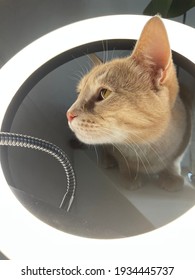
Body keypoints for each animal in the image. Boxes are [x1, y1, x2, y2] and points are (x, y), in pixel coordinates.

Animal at [66, 16, 190, 191]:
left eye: (104, 93)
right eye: (79, 93)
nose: (68, 114)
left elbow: (174, 161)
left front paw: (172, 175)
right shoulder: (116, 148)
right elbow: (121, 158)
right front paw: (130, 174)